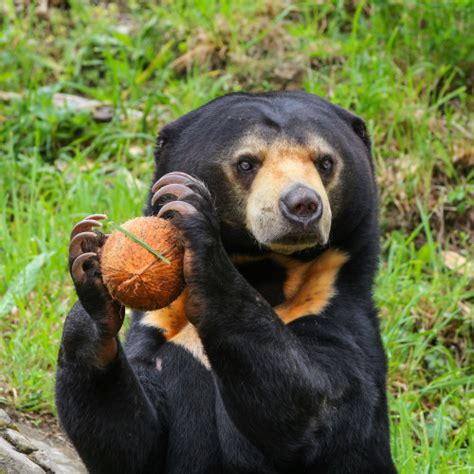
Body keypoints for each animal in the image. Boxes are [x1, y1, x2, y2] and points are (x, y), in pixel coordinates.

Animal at [55, 90, 396, 472]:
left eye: (325, 162)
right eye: (246, 163)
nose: (303, 205)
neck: (264, 270)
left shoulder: (337, 311)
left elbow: (320, 413)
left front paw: (194, 219)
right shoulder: (160, 328)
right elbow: (134, 443)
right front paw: (88, 263)